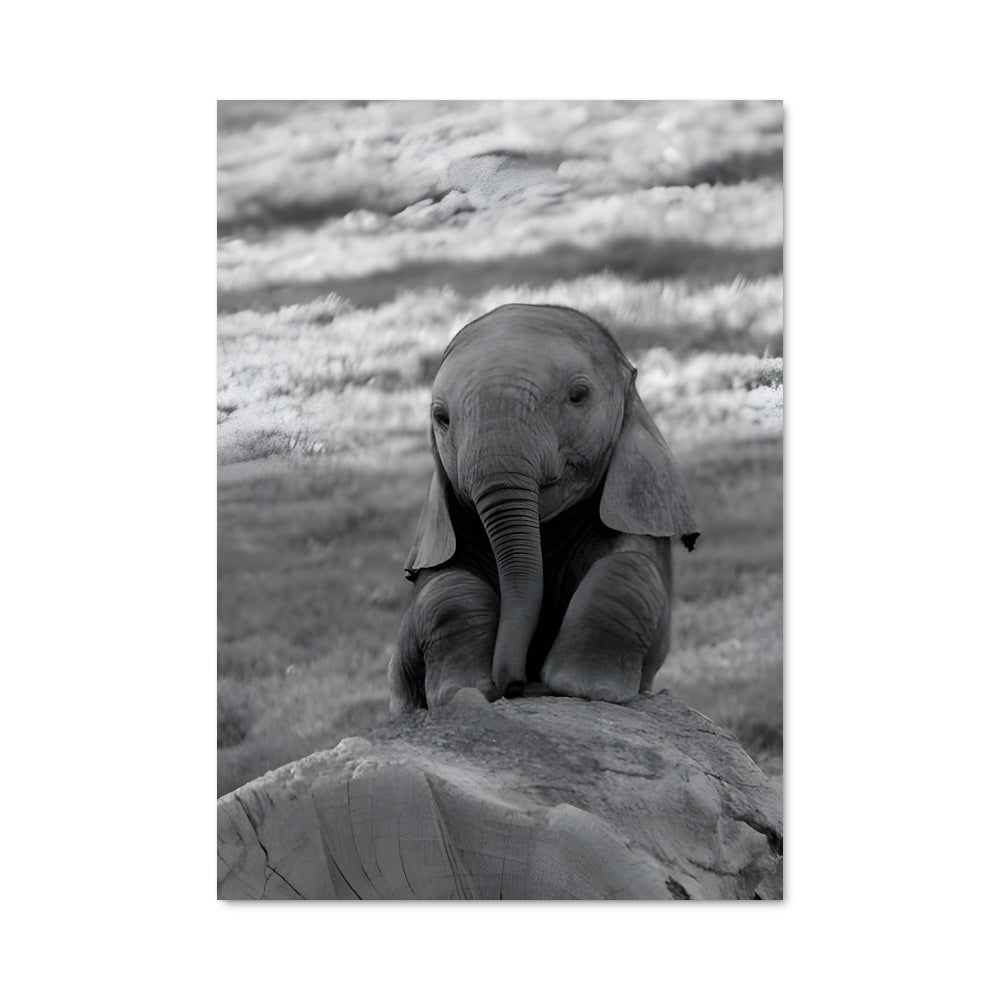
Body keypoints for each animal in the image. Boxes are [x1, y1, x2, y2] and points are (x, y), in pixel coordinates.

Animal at [388, 303, 698, 717]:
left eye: (579, 395)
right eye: (441, 417)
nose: (517, 685)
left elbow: (628, 570)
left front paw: (578, 687)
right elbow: (445, 590)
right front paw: (462, 692)